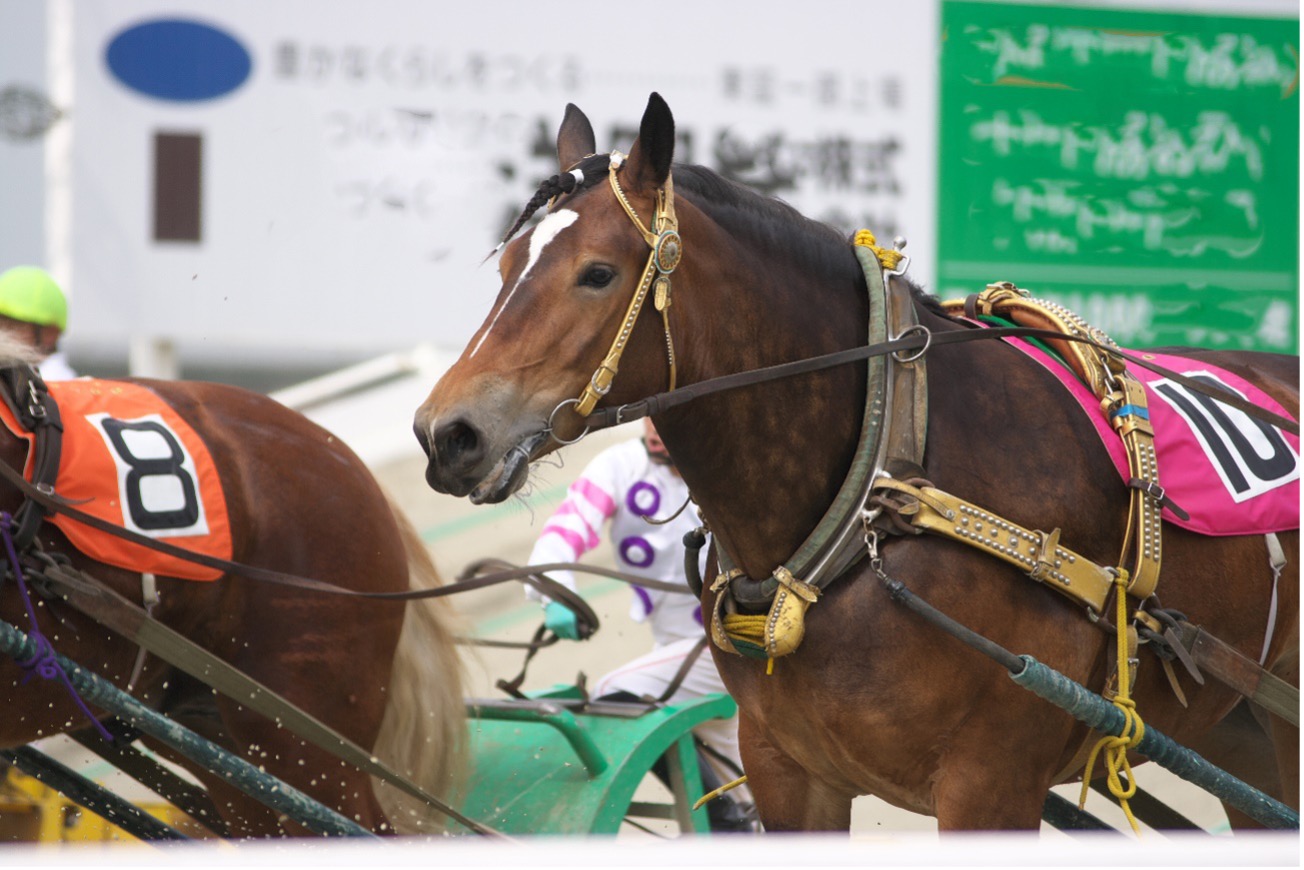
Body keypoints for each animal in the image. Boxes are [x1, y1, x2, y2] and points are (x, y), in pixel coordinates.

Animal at [414, 93, 1299, 832]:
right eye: (505, 268)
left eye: (596, 273)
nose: (446, 433)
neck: (885, 485)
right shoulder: (788, 768)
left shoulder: (990, 784)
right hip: (1243, 733)